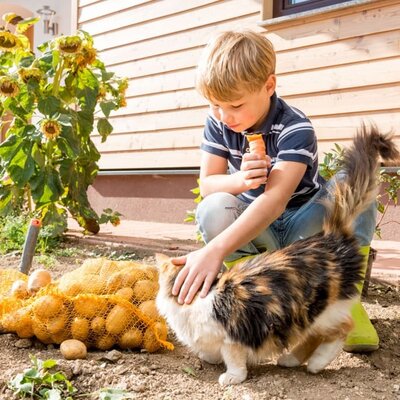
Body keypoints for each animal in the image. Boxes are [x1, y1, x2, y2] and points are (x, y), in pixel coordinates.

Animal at [155, 124, 398, 384]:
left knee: (342, 328)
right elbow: (208, 352)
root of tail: (330, 237)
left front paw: (231, 376)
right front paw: (210, 358)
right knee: (314, 336)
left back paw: (317, 363)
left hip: (320, 311)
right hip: (306, 317)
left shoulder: (233, 334)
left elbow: (233, 358)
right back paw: (291, 359)